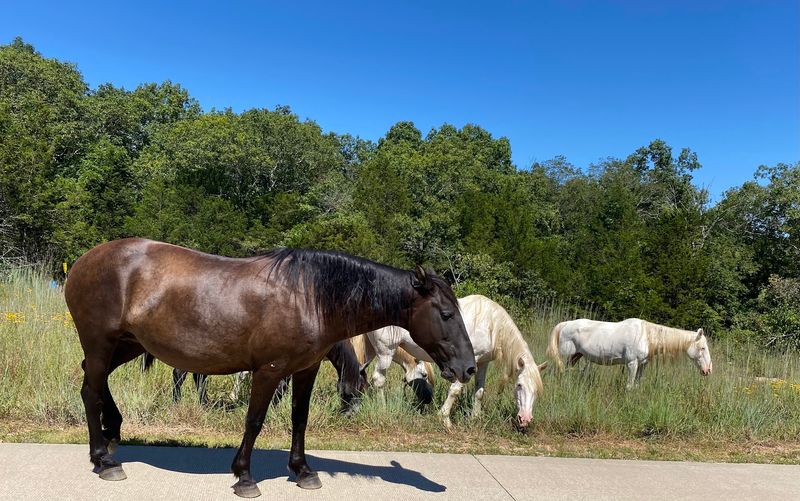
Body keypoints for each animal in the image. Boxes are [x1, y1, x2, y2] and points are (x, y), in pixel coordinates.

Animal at [64, 238, 475, 497]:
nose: (468, 369)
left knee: (94, 381)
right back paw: (103, 459)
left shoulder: (305, 369)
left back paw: (111, 435)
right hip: (102, 342)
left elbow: (299, 419)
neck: (311, 296)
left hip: (127, 344)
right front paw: (245, 476)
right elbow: (254, 421)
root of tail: (82, 262)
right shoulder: (269, 370)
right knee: (89, 390)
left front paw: (303, 470)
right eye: (446, 313)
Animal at [364, 295, 547, 429]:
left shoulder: (483, 363)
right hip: (386, 351)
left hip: (371, 350)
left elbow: (479, 392)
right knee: (379, 379)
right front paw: (445, 419)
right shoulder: (467, 364)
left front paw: (475, 418)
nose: (525, 419)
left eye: (537, 391)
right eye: (519, 385)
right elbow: (455, 390)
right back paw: (383, 410)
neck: (491, 324)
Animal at [547, 318, 713, 389]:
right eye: (703, 348)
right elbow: (629, 385)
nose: (708, 370)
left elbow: (637, 385)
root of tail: (565, 324)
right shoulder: (632, 363)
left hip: (576, 356)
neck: (646, 335)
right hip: (564, 355)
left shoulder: (642, 365)